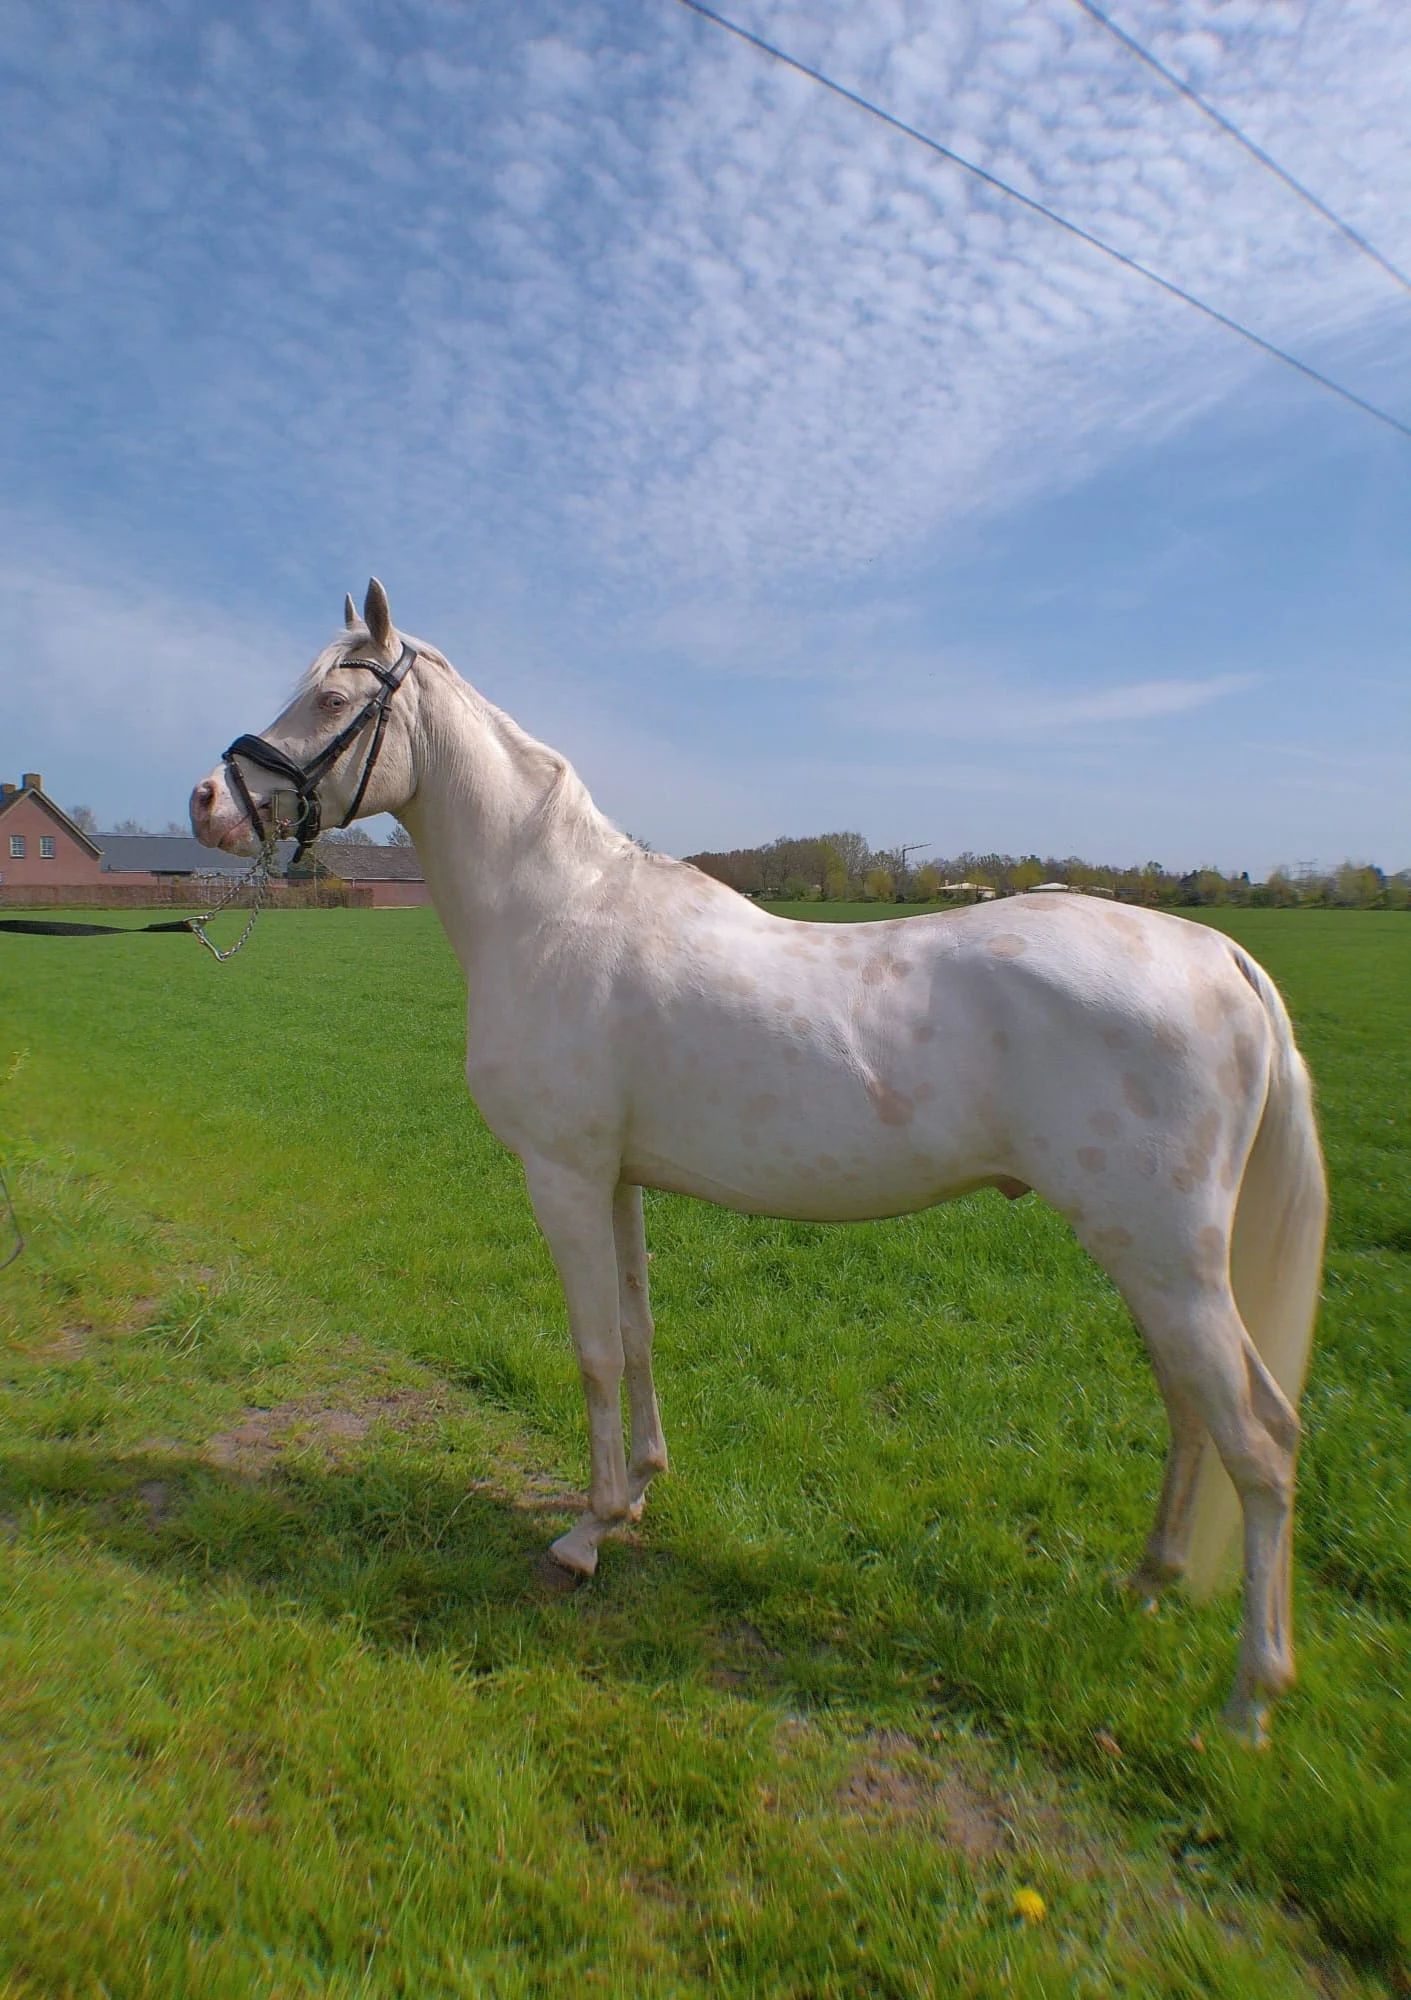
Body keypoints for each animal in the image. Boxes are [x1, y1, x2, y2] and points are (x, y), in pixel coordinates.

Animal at [191, 579, 1327, 1741]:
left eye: (332, 698)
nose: (208, 802)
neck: (552, 914)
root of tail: (1220, 955)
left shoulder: (561, 1175)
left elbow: (593, 1350)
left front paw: (585, 1535)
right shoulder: (617, 1180)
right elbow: (637, 1335)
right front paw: (639, 1490)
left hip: (1164, 1259)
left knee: (1256, 1443)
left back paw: (1249, 1699)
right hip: (1154, 1265)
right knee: (1201, 1414)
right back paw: (1147, 1583)